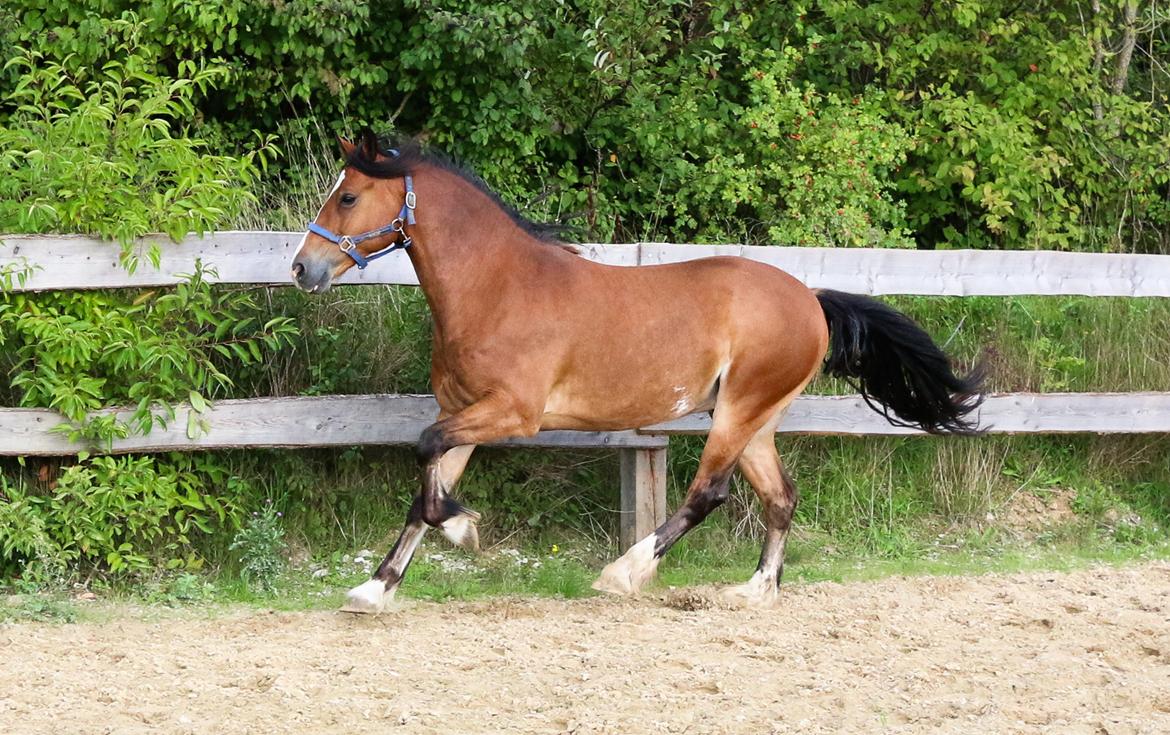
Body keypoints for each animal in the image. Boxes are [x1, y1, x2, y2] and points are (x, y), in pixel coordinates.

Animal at [287, 132, 982, 613]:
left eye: (348, 196)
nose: (302, 269)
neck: (498, 288)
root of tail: (810, 300)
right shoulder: (463, 410)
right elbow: (424, 483)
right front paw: (375, 589)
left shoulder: (513, 412)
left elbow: (426, 454)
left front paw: (462, 528)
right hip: (755, 417)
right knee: (780, 497)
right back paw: (753, 591)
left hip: (738, 412)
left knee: (709, 494)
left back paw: (623, 573)